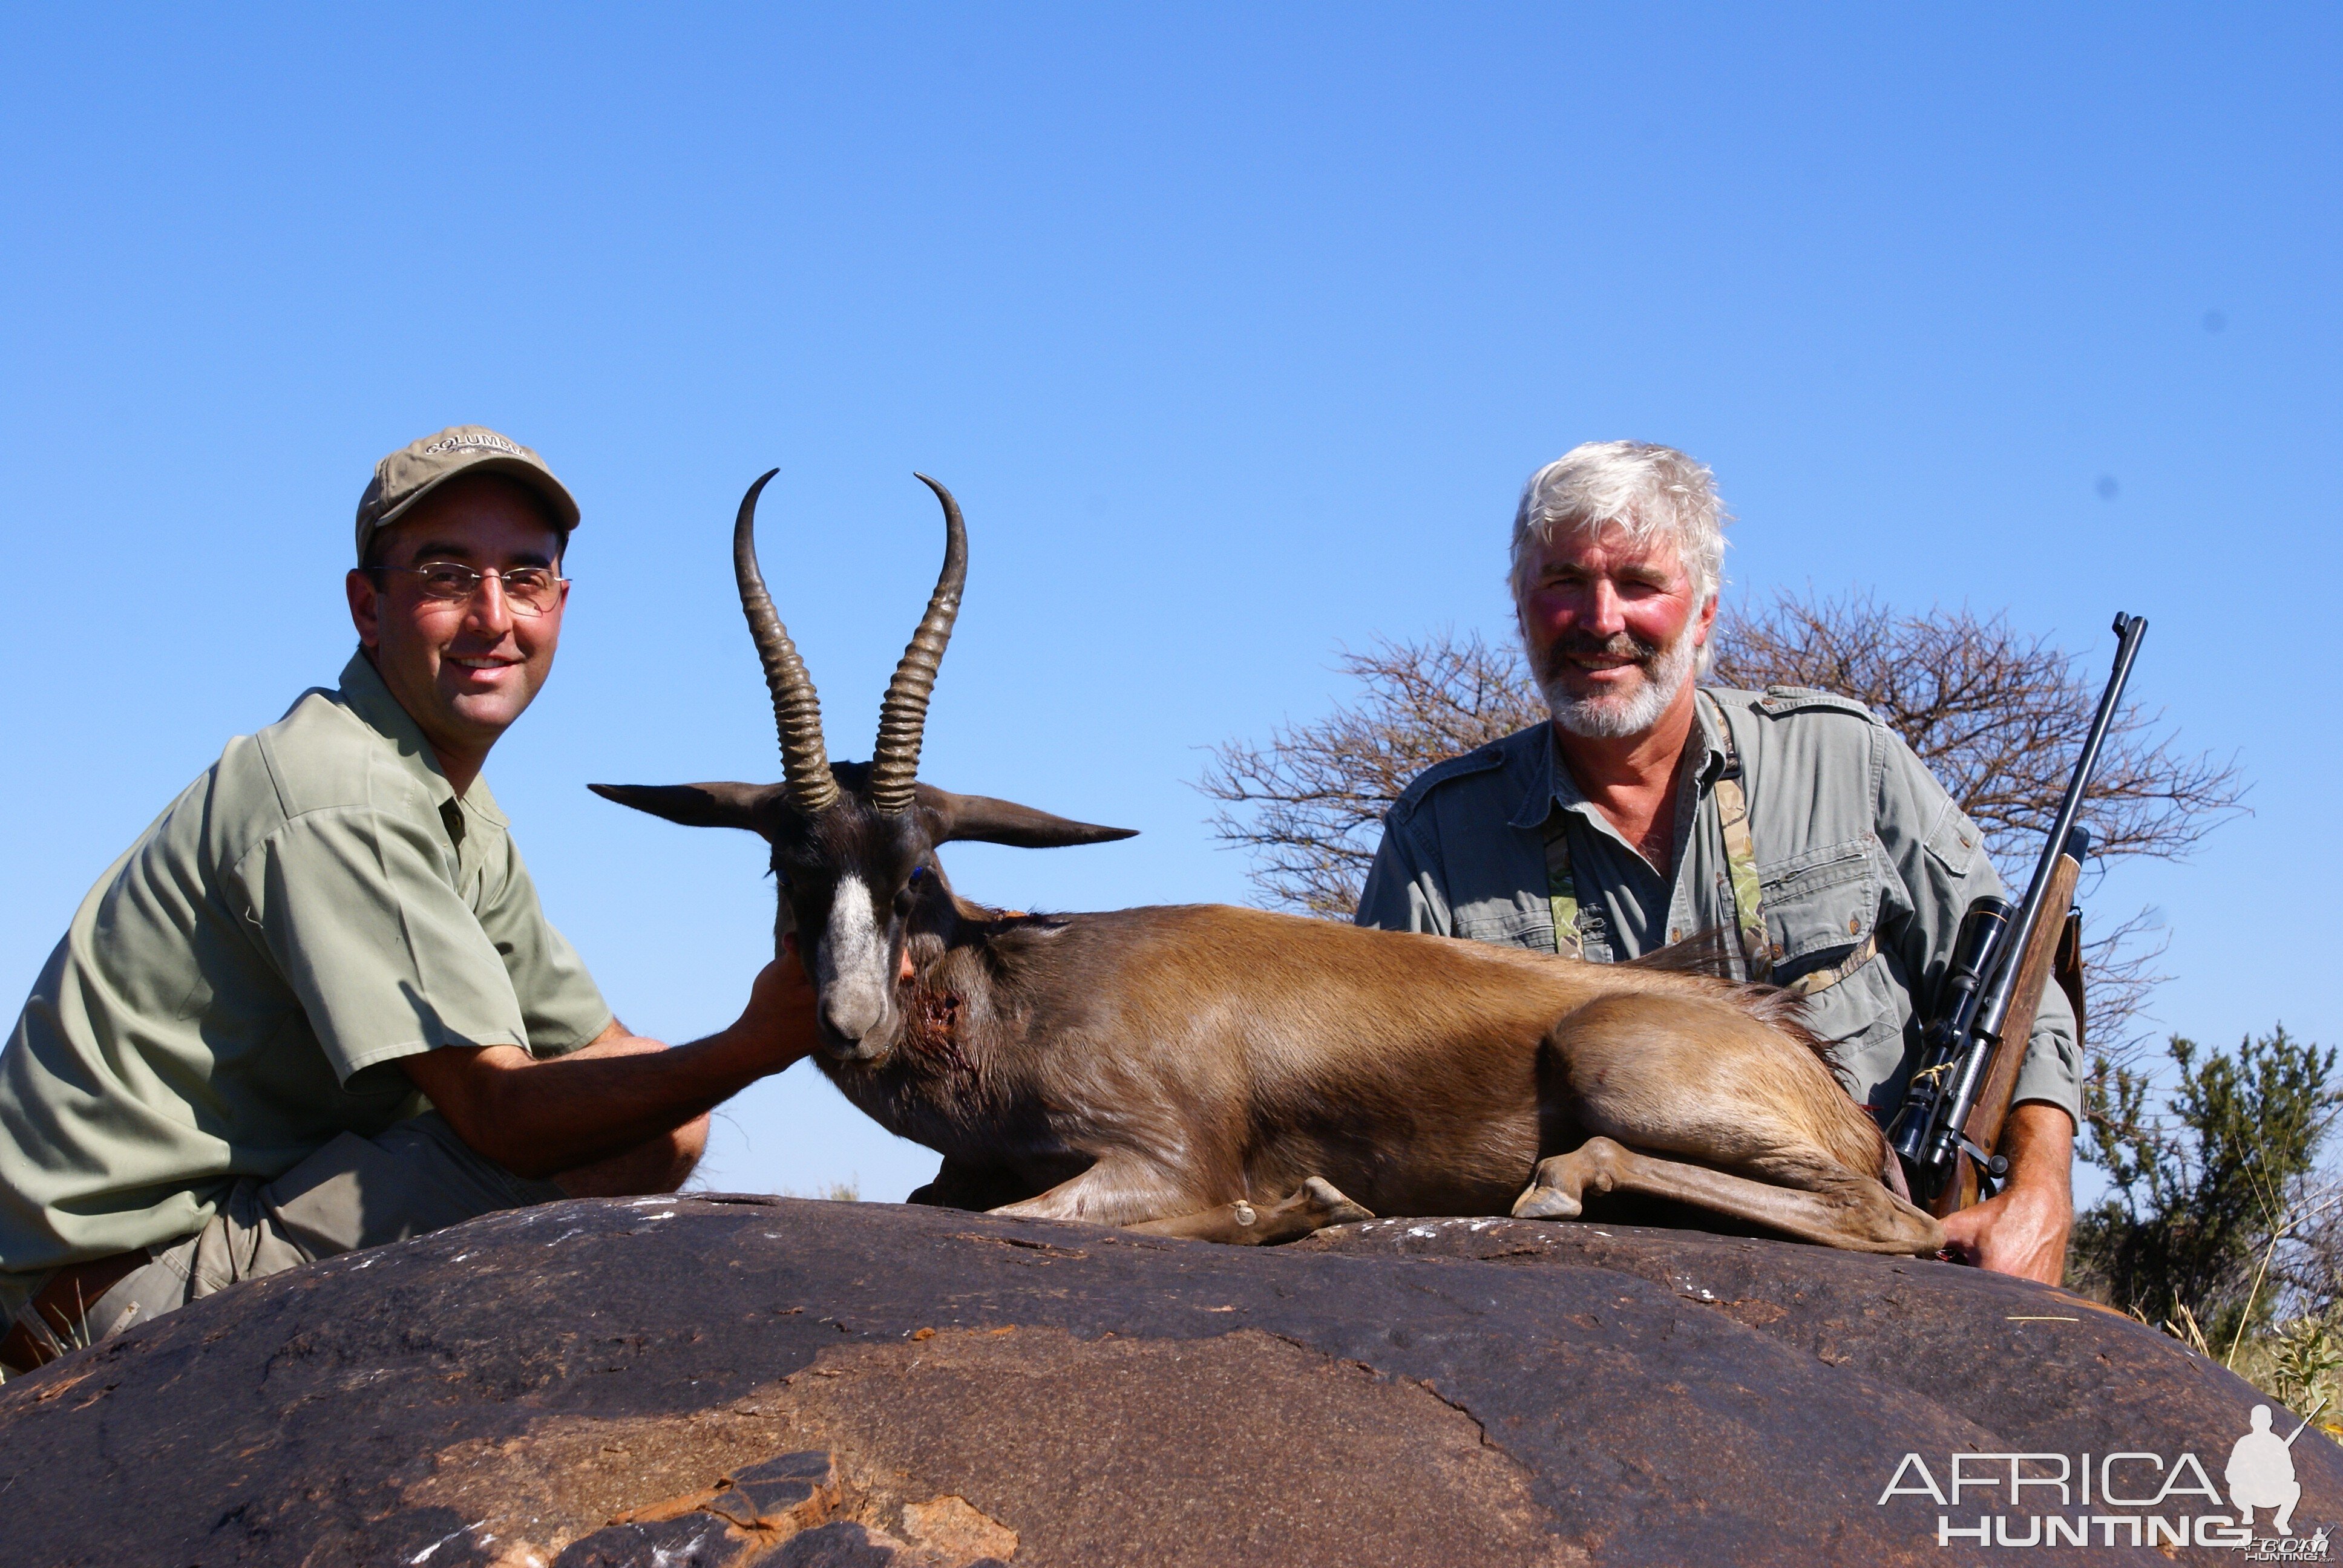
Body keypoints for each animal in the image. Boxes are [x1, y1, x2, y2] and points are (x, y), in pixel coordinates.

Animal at [600, 471, 1940, 1256]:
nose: (849, 1022)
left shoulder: (1155, 1162)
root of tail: (1786, 1047)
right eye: (786, 864)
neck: (1017, 992)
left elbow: (1109, 1216)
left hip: (1616, 1064)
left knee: (1886, 1221)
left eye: (920, 870)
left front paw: (1306, 1203)